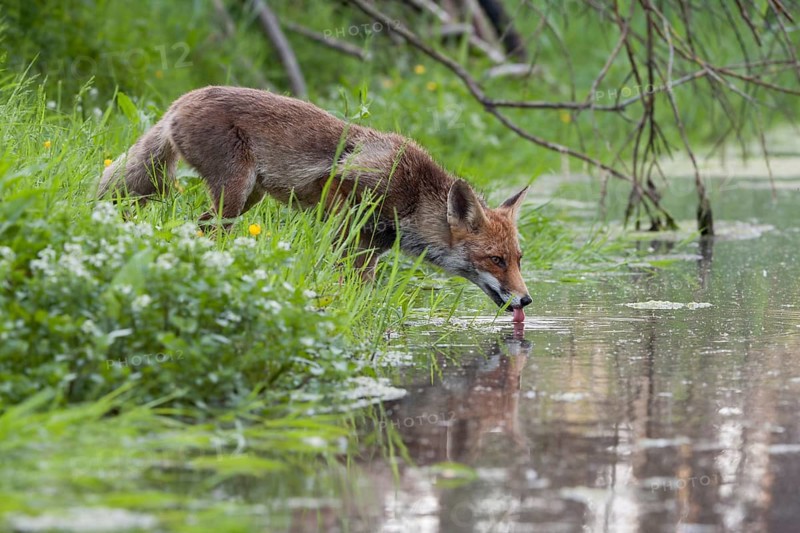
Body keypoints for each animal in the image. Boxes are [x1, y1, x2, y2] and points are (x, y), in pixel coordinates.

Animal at [98, 86, 532, 319]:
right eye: (496, 260)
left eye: (518, 259)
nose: (527, 299)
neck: (412, 197)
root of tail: (181, 99)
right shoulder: (343, 192)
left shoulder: (371, 249)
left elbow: (362, 288)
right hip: (234, 194)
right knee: (202, 228)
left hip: (248, 197)